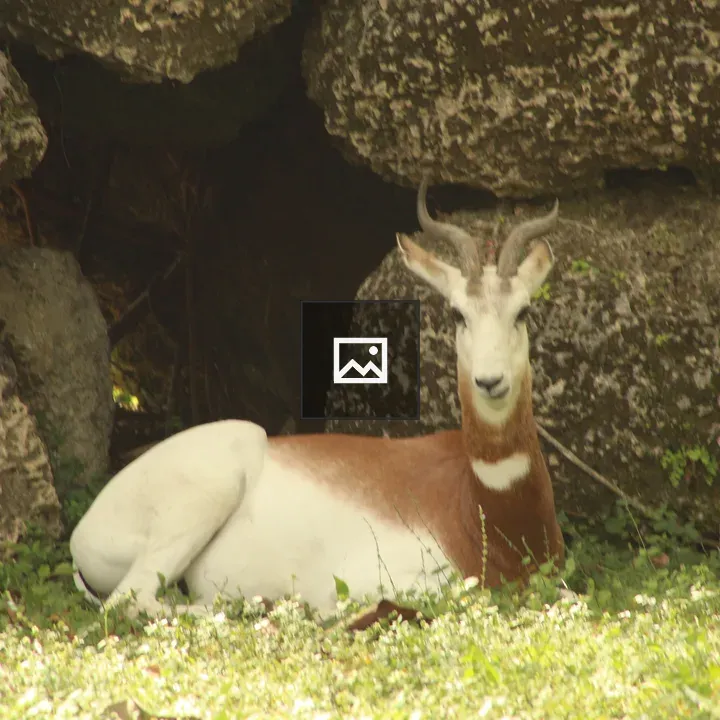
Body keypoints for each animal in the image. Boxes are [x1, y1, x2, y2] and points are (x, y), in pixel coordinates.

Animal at [70, 179, 564, 619]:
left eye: (523, 311)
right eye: (458, 314)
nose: (489, 380)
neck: (481, 512)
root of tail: (80, 536)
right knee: (130, 601)